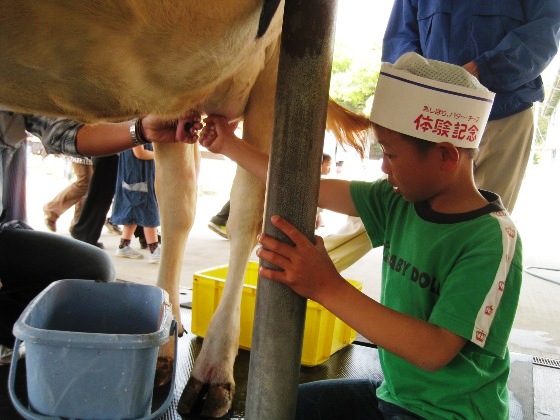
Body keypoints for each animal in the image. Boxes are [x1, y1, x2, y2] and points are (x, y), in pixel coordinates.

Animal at [1, 0, 372, 416]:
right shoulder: (168, 106)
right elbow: (176, 207)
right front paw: (161, 341)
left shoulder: (280, 51)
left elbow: (243, 209)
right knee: (183, 207)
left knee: (245, 211)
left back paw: (212, 369)